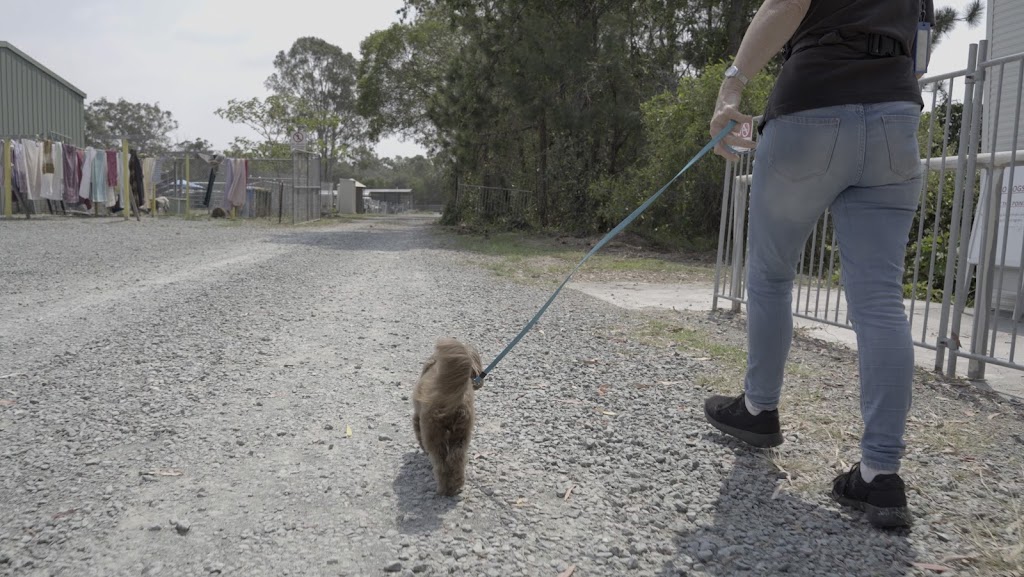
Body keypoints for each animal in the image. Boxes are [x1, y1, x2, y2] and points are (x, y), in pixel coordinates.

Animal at [409, 338, 481, 496]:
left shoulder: (417, 418)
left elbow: (418, 434)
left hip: (433, 433)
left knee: (441, 463)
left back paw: (443, 488)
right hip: (461, 433)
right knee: (456, 458)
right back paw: (456, 485)